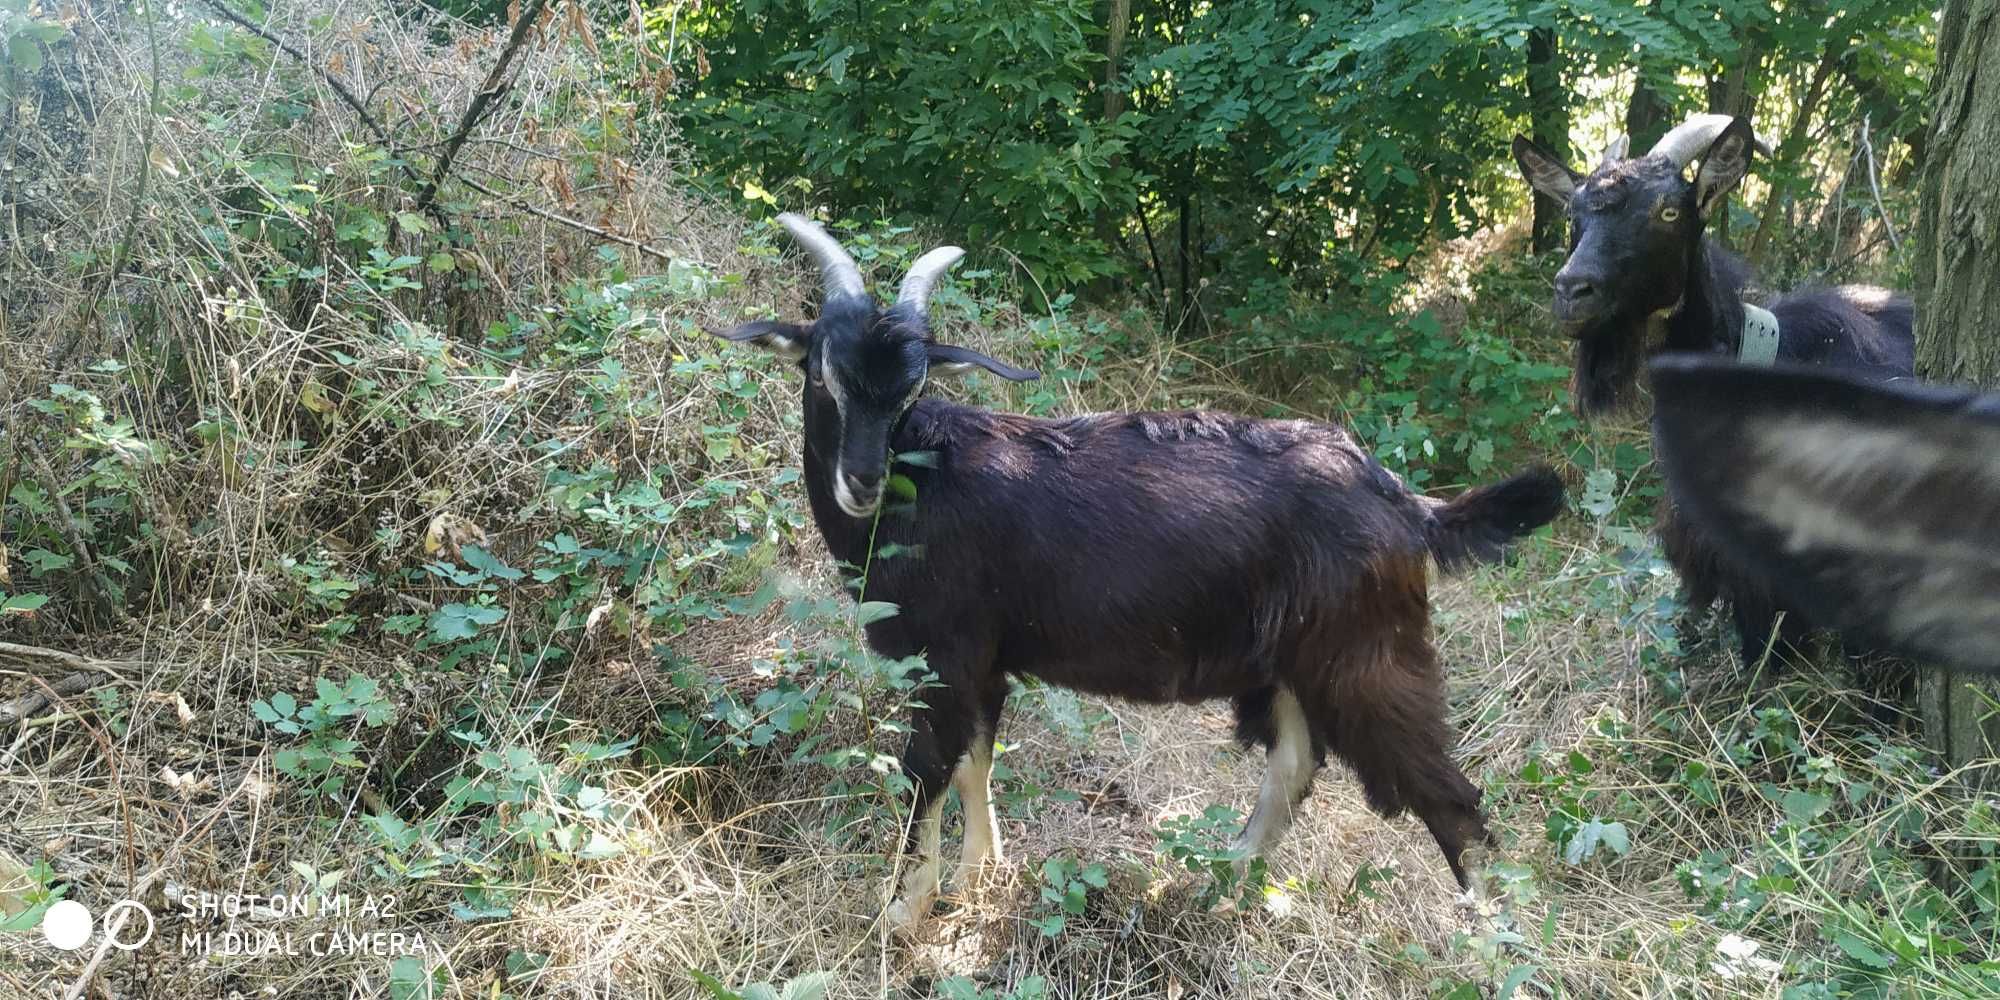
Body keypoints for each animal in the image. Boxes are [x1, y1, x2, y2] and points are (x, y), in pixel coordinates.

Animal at [712, 213, 1568, 928]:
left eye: (913, 389)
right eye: (821, 373)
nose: (861, 482)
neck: (925, 478)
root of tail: (1407, 505)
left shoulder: (944, 660)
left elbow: (928, 777)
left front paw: (898, 915)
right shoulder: (985, 664)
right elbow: (976, 767)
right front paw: (976, 877)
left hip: (1368, 659)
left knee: (1453, 803)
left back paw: (1492, 946)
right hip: (1296, 663)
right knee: (1294, 767)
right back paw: (1214, 885)